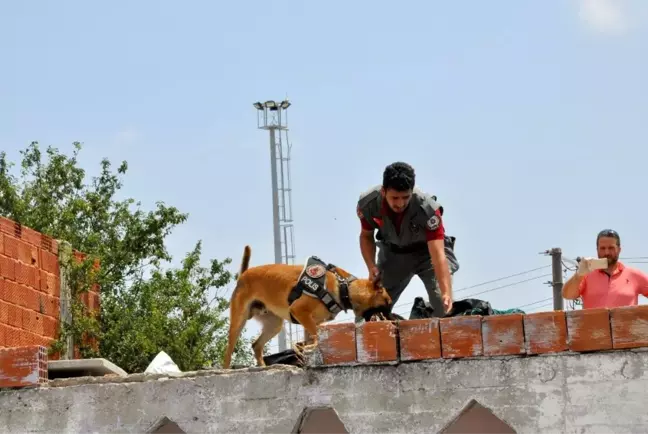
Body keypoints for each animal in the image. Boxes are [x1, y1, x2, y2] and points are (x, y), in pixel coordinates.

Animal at [223, 246, 392, 368]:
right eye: (388, 303)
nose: (393, 318)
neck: (343, 287)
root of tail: (244, 274)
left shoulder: (308, 321)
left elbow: (311, 337)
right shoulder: (300, 311)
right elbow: (316, 334)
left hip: (274, 325)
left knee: (256, 345)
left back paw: (263, 366)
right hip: (239, 321)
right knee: (228, 350)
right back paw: (226, 369)